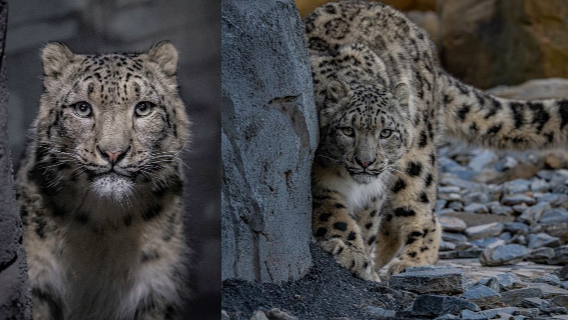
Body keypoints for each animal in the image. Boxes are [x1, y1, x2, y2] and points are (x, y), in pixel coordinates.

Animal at [13, 41, 190, 318]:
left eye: (143, 107)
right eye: (82, 108)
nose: (114, 152)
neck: (105, 223)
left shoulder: (155, 287)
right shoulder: (40, 284)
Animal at [308, 0, 568, 280]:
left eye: (386, 132)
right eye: (347, 130)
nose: (365, 162)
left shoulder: (373, 192)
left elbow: (365, 225)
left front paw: (361, 259)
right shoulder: (321, 183)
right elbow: (338, 219)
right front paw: (355, 256)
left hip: (416, 160)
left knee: (421, 211)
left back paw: (411, 263)